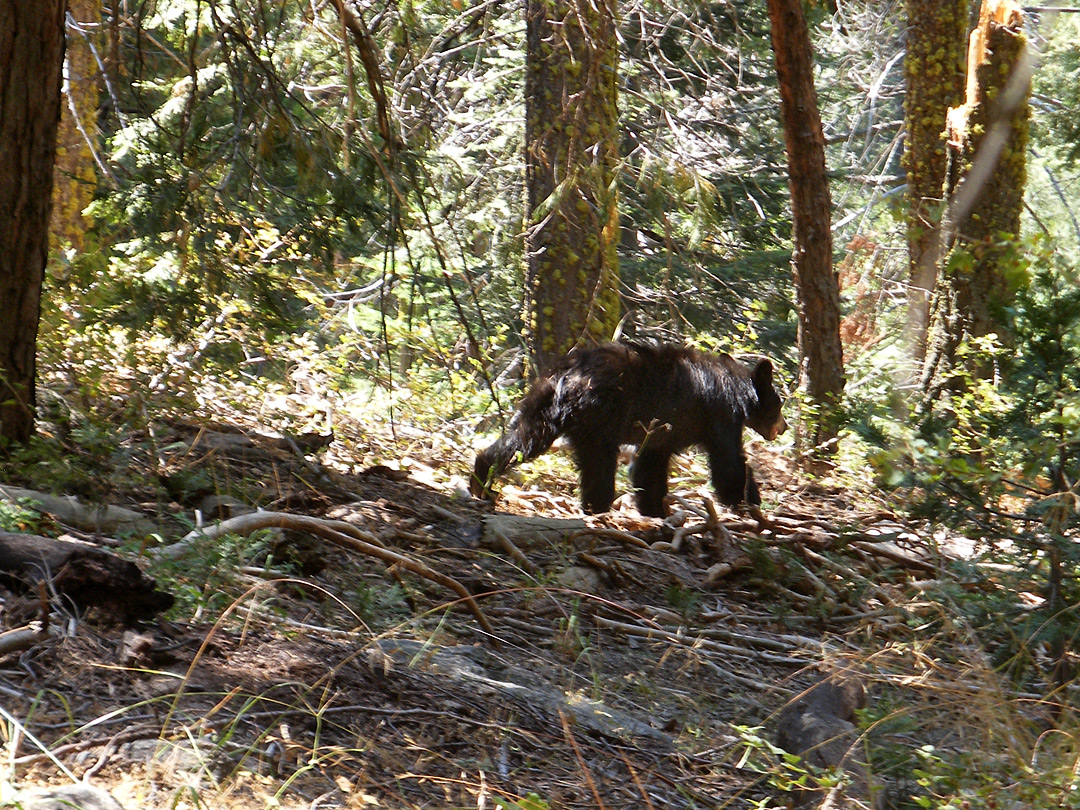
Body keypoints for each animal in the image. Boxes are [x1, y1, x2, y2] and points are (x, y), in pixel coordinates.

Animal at [470, 339, 786, 516]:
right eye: (780, 404)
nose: (783, 427)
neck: (738, 390)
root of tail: (565, 374)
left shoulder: (661, 433)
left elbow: (648, 464)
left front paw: (654, 509)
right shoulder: (721, 416)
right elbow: (728, 463)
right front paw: (743, 501)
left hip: (541, 406)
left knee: (521, 440)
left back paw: (481, 480)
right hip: (599, 415)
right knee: (599, 463)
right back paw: (597, 506)